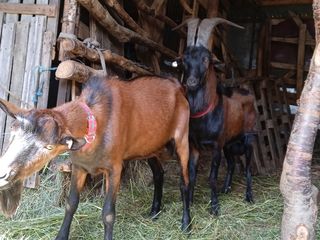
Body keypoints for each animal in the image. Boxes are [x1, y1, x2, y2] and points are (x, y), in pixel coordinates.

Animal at [0, 74, 191, 238]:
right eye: (13, 132)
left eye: (49, 147)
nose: (3, 174)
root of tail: (177, 86)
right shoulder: (79, 166)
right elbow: (71, 204)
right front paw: (61, 236)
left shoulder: (114, 168)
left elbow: (108, 213)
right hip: (151, 146)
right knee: (159, 174)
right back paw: (154, 212)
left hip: (182, 136)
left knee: (184, 181)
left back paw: (186, 224)